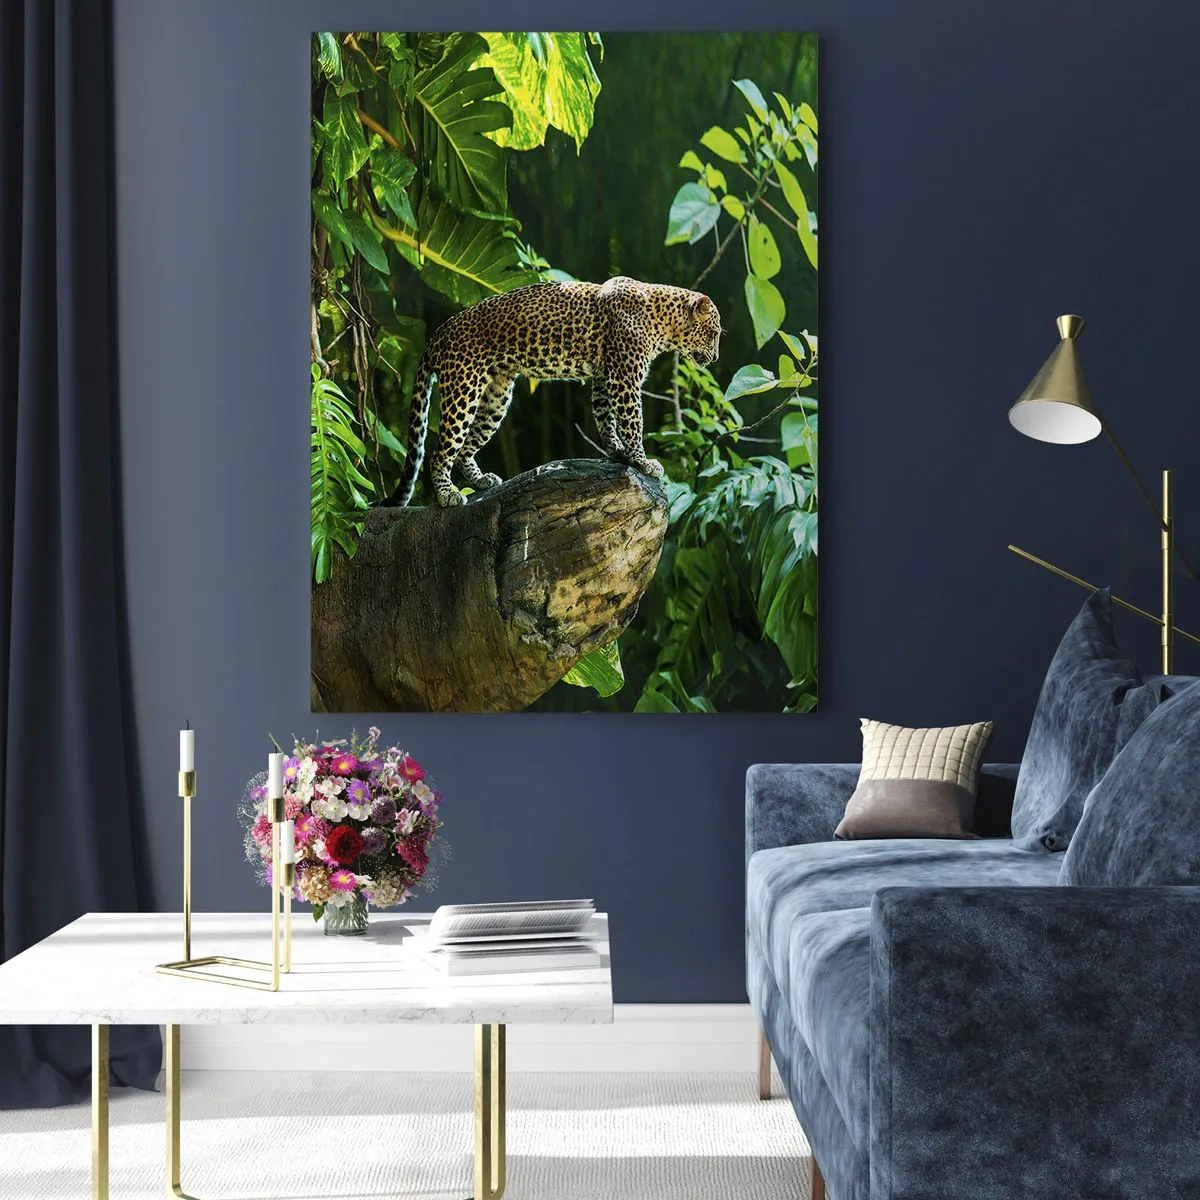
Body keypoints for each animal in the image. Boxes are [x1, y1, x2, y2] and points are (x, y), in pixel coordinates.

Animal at [387, 275, 722, 507]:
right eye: (714, 333)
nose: (717, 357)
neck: (662, 321)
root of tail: (438, 332)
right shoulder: (624, 380)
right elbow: (633, 422)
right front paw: (643, 462)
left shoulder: (604, 378)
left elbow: (605, 418)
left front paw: (616, 452)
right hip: (463, 389)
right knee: (440, 450)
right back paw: (447, 496)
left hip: (496, 396)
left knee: (465, 448)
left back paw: (481, 480)